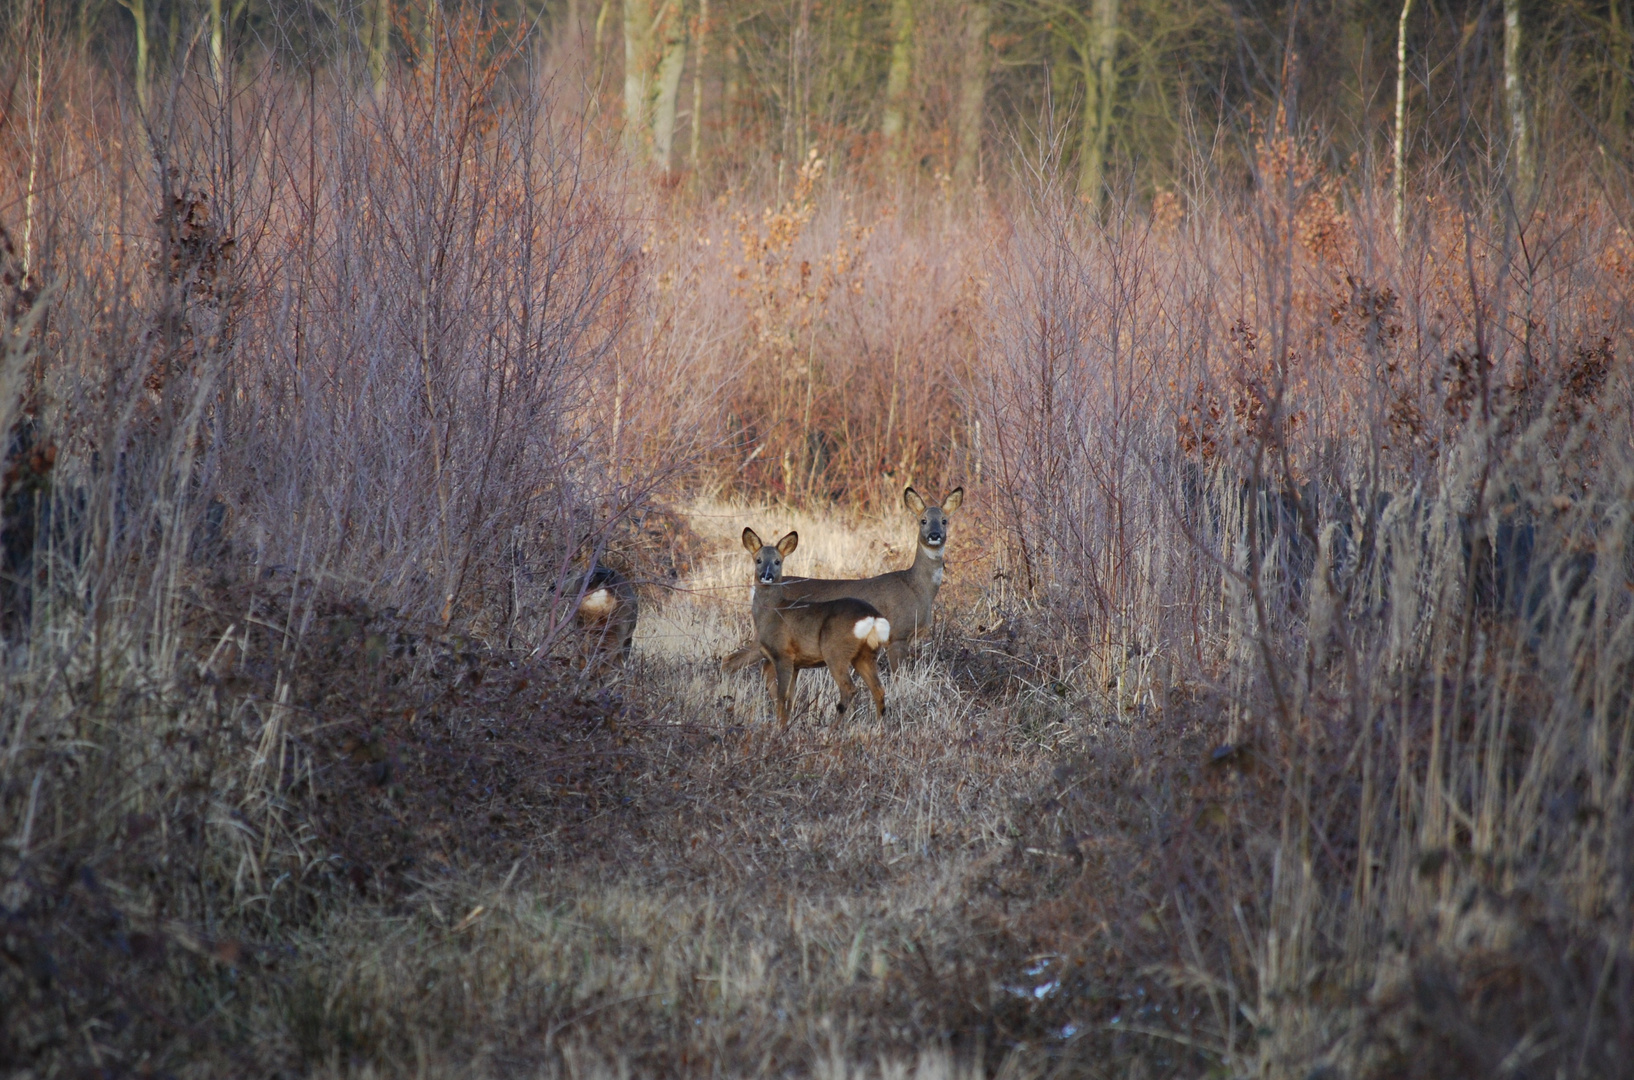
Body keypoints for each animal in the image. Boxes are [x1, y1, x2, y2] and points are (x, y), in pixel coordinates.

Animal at [722, 529, 888, 725]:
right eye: (758, 560)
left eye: (778, 561)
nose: (766, 576)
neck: (774, 611)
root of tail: (873, 617)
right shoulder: (796, 664)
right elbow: (790, 698)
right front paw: (786, 725)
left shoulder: (783, 655)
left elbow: (782, 695)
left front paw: (778, 727)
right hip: (866, 654)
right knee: (879, 690)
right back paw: (878, 727)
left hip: (835, 651)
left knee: (849, 688)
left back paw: (832, 729)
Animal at [725, 483, 960, 669]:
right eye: (923, 520)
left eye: (945, 520)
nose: (935, 535)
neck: (917, 587)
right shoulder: (898, 634)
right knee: (732, 660)